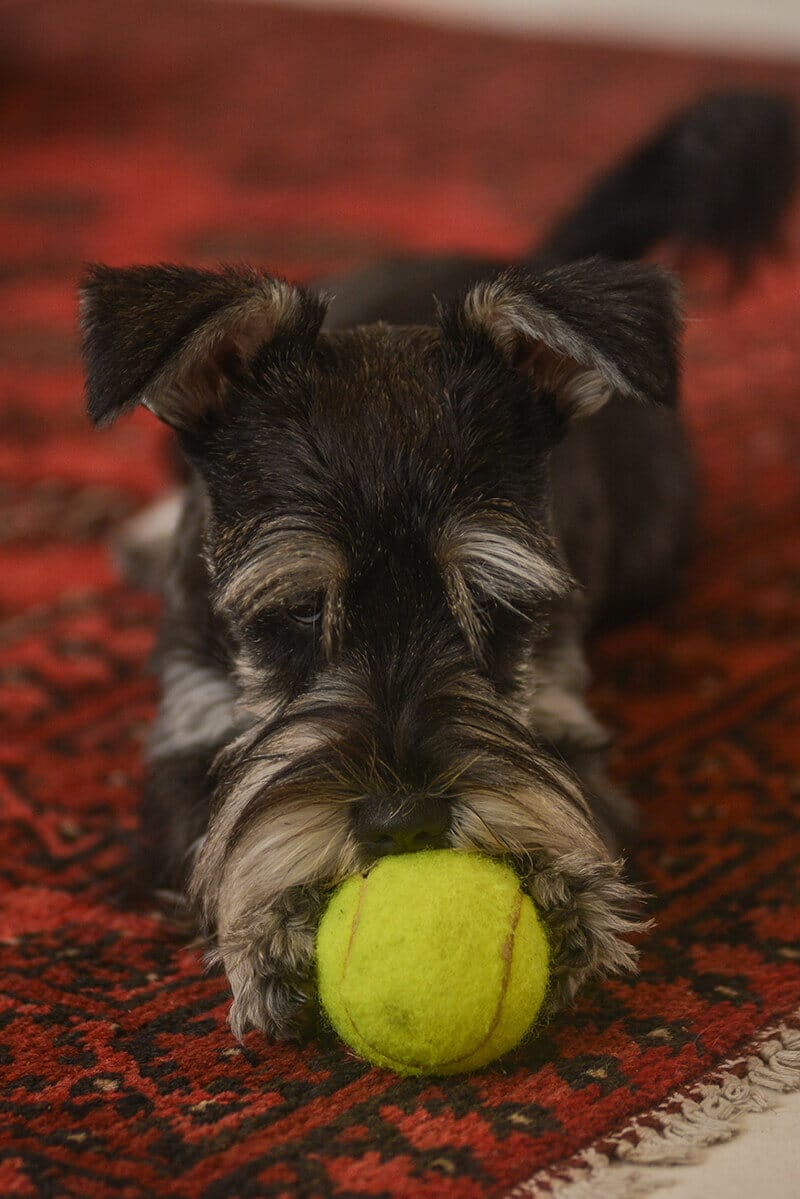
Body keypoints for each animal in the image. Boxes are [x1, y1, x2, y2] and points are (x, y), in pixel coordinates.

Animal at [80, 91, 797, 1042]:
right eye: (298, 608)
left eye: (490, 603)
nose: (403, 817)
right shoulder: (185, 733)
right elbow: (214, 827)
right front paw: (269, 918)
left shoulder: (560, 714)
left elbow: (567, 793)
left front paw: (562, 892)